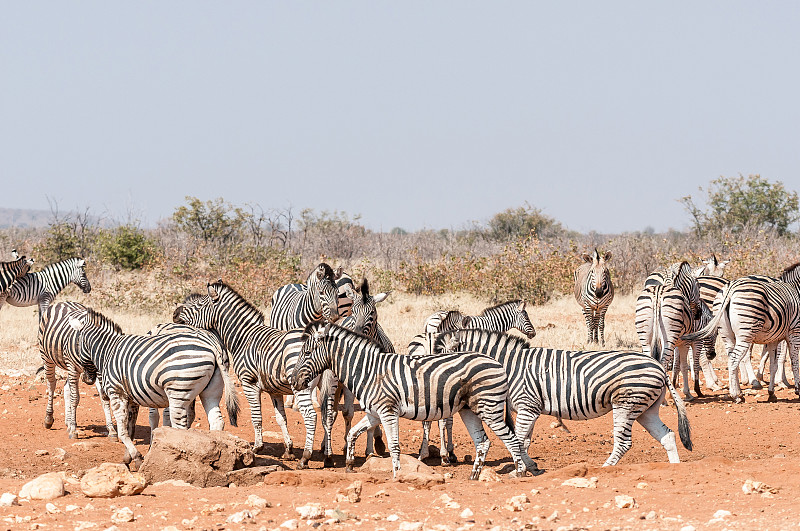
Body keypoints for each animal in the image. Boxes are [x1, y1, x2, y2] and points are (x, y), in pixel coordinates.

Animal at [67, 308, 238, 470]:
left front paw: (137, 458)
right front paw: (128, 458)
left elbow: (122, 431)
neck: (108, 350)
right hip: (211, 392)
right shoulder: (131, 398)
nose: (86, 379)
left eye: (77, 345)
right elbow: (130, 428)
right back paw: (218, 457)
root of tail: (212, 345)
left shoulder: (116, 392)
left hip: (178, 392)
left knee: (180, 428)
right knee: (217, 421)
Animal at [173, 280, 332, 468]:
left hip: (301, 386)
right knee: (328, 416)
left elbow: (256, 417)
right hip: (329, 385)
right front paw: (288, 450)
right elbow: (281, 418)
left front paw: (257, 447)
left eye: (198, 305)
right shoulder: (274, 389)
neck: (244, 338)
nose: (174, 315)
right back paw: (328, 457)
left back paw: (306, 457)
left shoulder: (249, 383)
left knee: (311, 416)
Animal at [290, 324, 540, 482]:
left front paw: (397, 475)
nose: (293, 381)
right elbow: (353, 433)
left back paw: (519, 473)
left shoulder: (387, 411)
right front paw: (350, 464)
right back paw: (474, 476)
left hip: (490, 408)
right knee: (483, 443)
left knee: (512, 439)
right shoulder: (374, 413)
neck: (369, 370)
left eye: (307, 352)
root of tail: (496, 362)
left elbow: (394, 446)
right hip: (469, 410)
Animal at [434, 330, 692, 468]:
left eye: (440, 358)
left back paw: (605, 469)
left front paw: (522, 468)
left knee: (624, 442)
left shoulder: (527, 406)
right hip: (646, 409)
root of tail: (658, 366)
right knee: (667, 435)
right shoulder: (531, 408)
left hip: (626, 405)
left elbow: (518, 439)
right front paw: (530, 466)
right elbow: (525, 440)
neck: (510, 366)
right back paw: (675, 468)